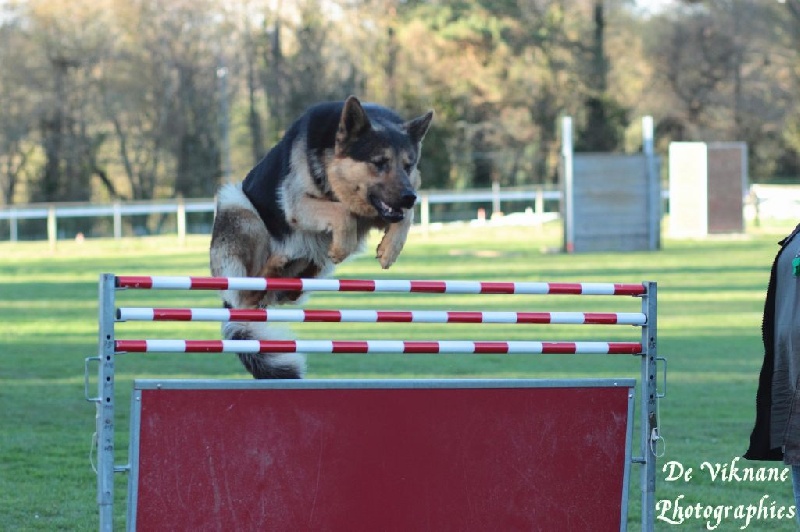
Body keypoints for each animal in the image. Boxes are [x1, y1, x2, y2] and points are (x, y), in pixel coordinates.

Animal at [210, 96, 433, 379]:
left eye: (408, 165)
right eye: (379, 162)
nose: (409, 197)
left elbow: (405, 218)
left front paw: (390, 249)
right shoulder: (298, 204)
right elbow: (342, 214)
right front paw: (343, 244)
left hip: (311, 270)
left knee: (287, 291)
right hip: (238, 206)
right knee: (249, 290)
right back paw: (276, 264)